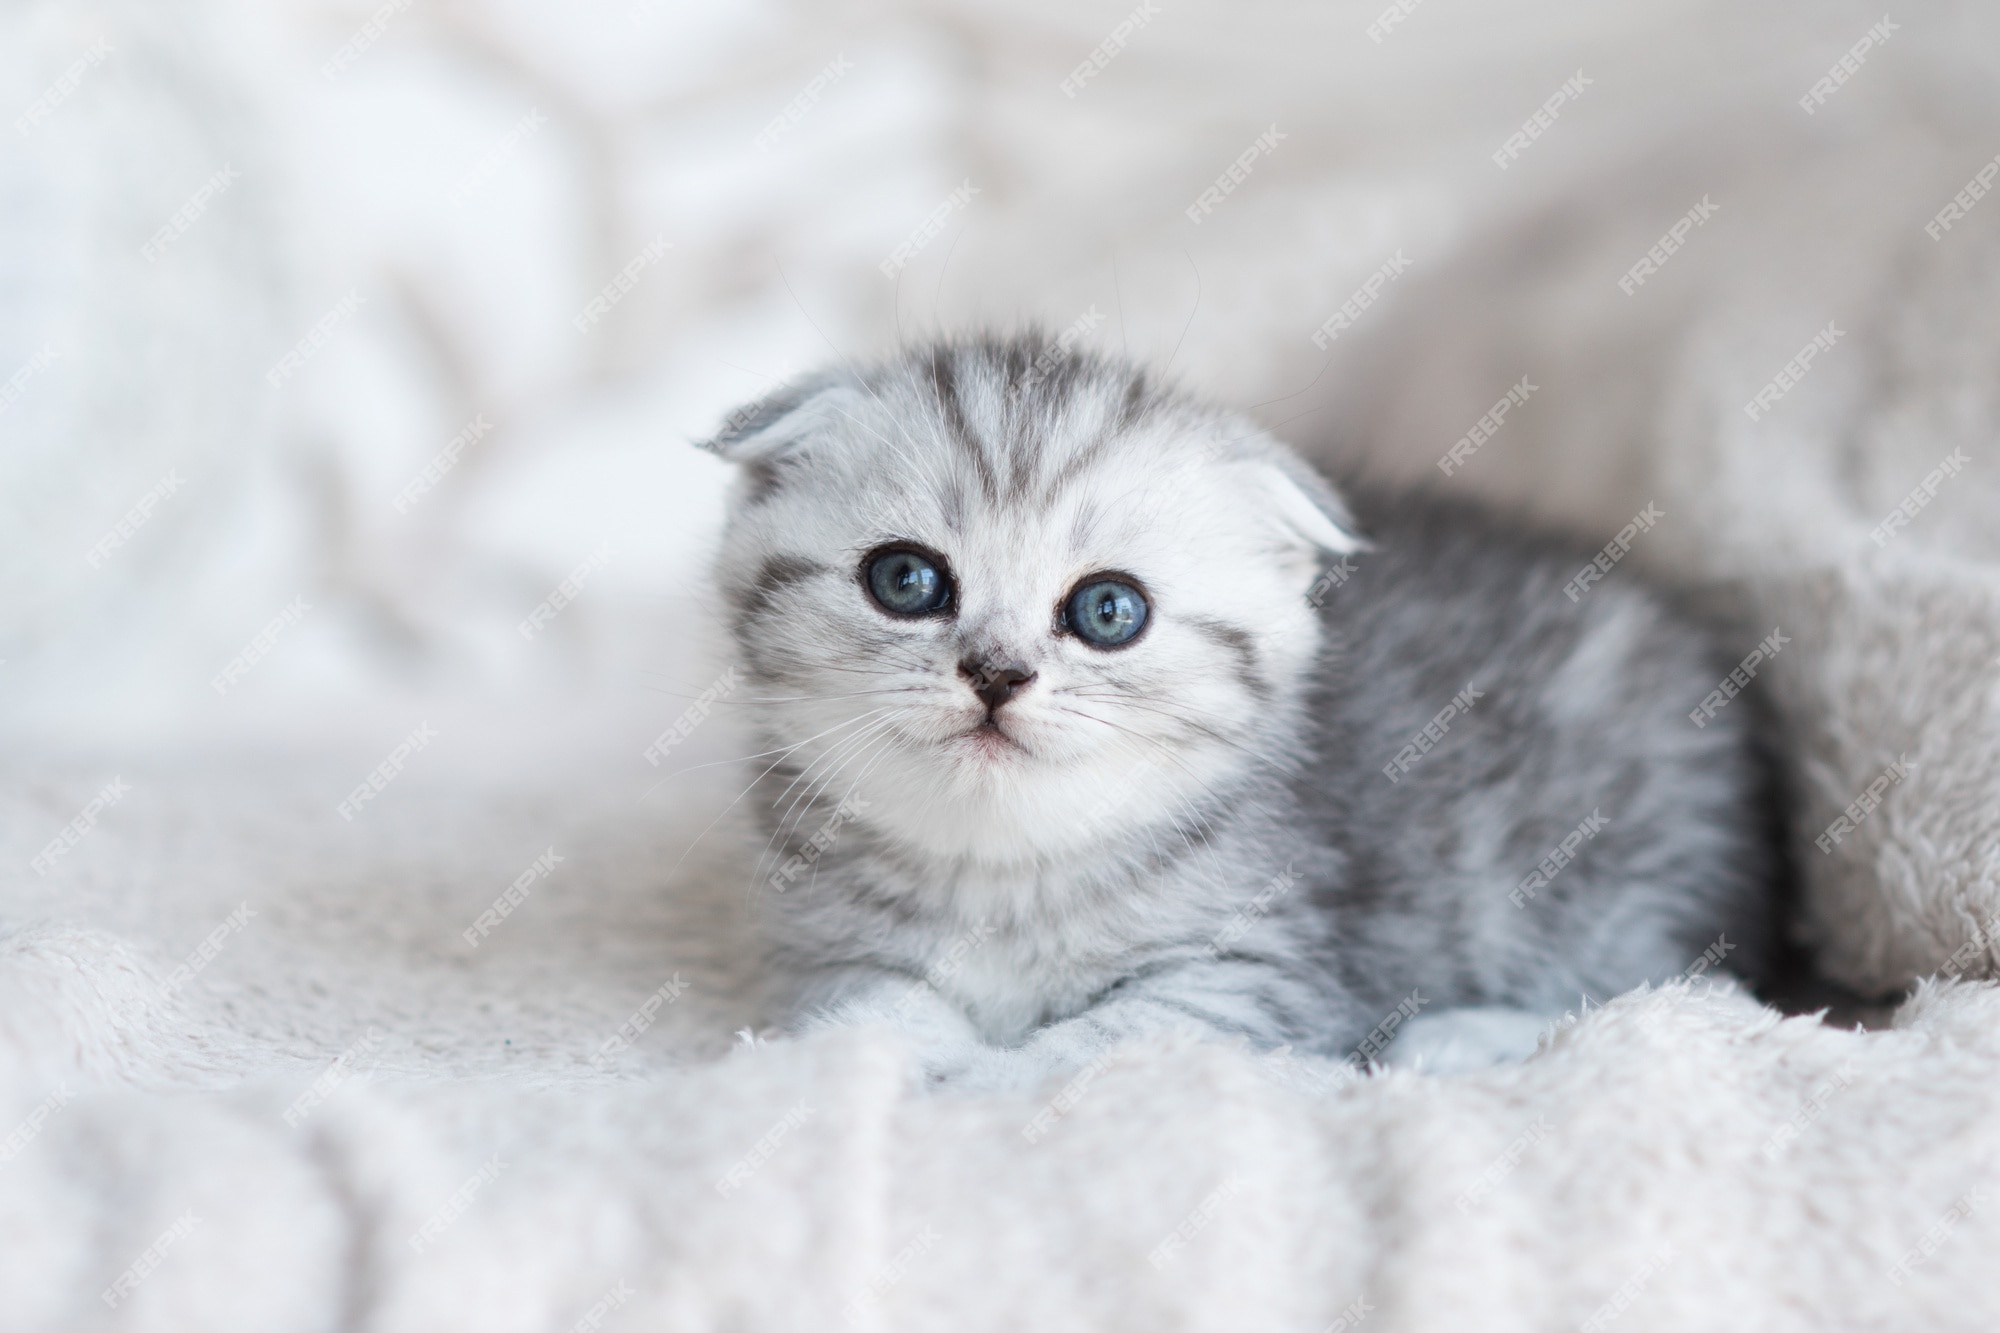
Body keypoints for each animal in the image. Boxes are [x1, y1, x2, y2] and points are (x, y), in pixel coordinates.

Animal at [696, 330, 1776, 1080]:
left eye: (1108, 609)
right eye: (906, 580)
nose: (996, 672)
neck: (1002, 871)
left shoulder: (1262, 974)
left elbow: (1105, 1041)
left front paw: (987, 1073)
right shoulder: (822, 951)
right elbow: (866, 1011)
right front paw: (920, 1049)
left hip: (1602, 869)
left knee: (1686, 982)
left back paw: (1459, 1035)